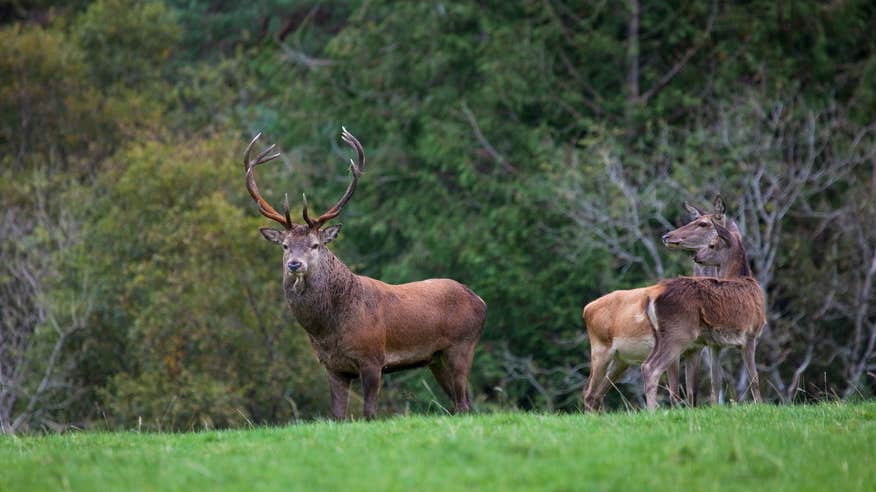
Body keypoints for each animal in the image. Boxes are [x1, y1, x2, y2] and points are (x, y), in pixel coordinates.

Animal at [241, 128, 486, 418]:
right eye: (285, 246)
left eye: (315, 244)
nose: (294, 265)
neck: (328, 330)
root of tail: (480, 301)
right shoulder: (332, 366)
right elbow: (337, 415)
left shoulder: (373, 358)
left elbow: (370, 413)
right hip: (435, 358)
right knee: (462, 403)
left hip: (462, 345)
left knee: (463, 403)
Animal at [584, 196, 736, 412]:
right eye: (694, 219)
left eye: (703, 223)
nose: (667, 236)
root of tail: (587, 308)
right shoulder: (675, 347)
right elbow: (675, 393)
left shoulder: (695, 348)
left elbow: (692, 394)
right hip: (600, 350)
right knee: (588, 393)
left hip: (621, 359)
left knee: (597, 395)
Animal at [640, 221, 764, 410]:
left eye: (711, 245)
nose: (697, 257)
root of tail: (652, 297)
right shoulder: (750, 333)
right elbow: (754, 378)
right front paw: (760, 405)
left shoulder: (715, 345)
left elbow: (716, 381)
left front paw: (715, 407)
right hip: (679, 333)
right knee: (651, 367)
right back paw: (652, 411)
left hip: (660, 335)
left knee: (647, 365)